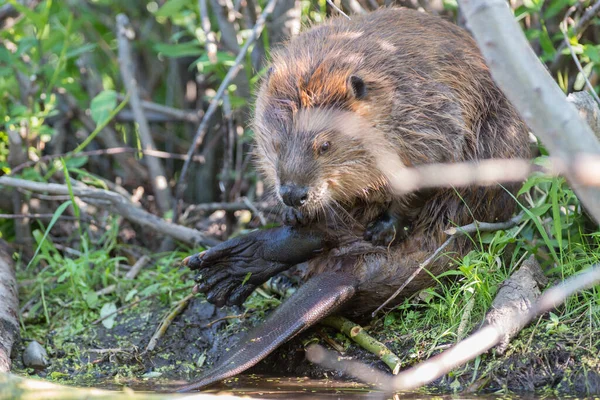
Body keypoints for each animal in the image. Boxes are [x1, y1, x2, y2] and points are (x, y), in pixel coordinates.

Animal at [177, 7, 528, 392]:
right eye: (276, 143)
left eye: (325, 145)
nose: (293, 194)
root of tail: (349, 277)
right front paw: (292, 214)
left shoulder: (431, 114)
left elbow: (433, 165)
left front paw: (384, 228)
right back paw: (236, 268)